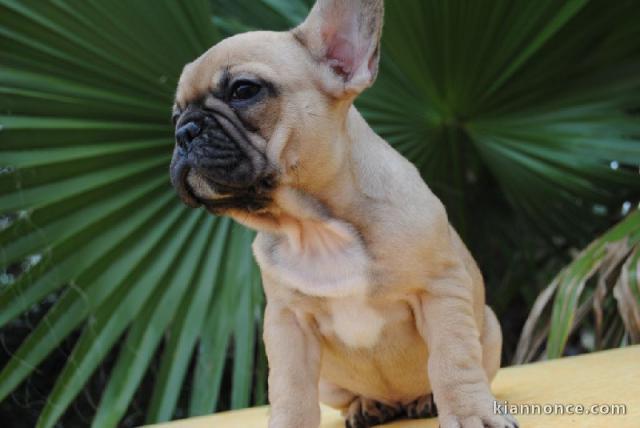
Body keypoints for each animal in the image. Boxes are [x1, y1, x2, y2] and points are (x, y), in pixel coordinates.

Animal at [168, 0, 516, 428]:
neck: (315, 226)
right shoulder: (288, 322)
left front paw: (470, 414)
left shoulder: (441, 291)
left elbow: (453, 361)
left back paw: (424, 400)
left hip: (491, 328)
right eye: (174, 115)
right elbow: (289, 388)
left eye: (244, 90)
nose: (184, 133)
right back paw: (367, 406)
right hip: (330, 384)